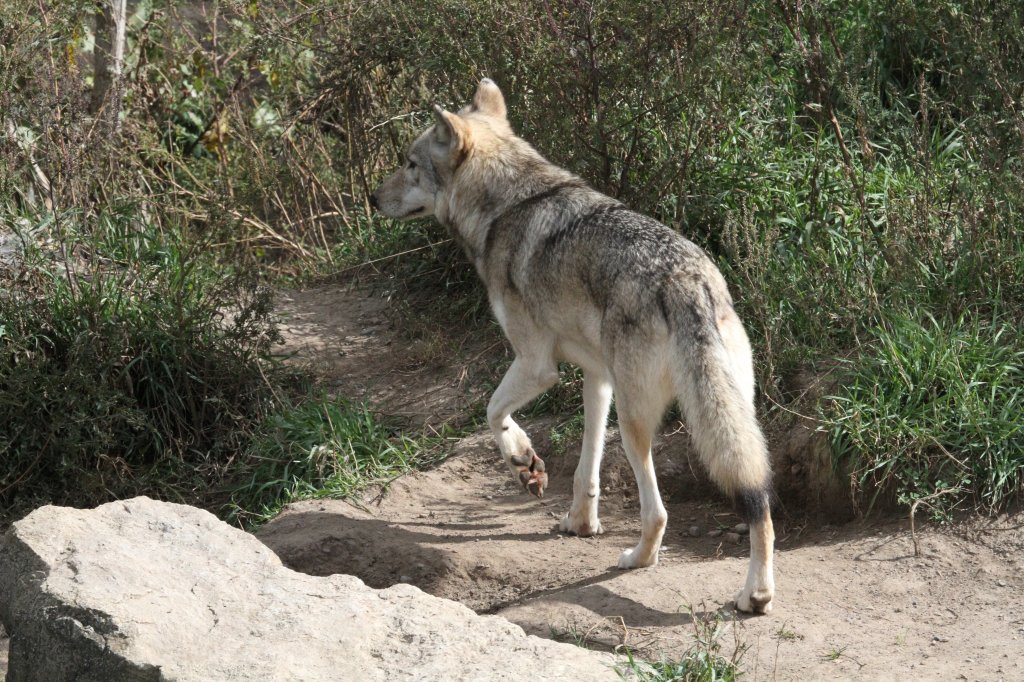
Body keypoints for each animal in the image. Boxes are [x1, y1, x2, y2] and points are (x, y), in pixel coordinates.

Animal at [372, 78, 770, 610]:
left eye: (409, 163)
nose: (373, 197)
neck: (504, 207)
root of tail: (690, 282)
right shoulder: (596, 378)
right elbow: (587, 469)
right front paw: (579, 522)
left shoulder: (536, 364)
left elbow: (493, 413)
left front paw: (523, 462)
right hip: (722, 413)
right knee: (759, 499)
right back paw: (757, 594)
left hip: (635, 425)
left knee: (659, 512)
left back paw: (639, 559)